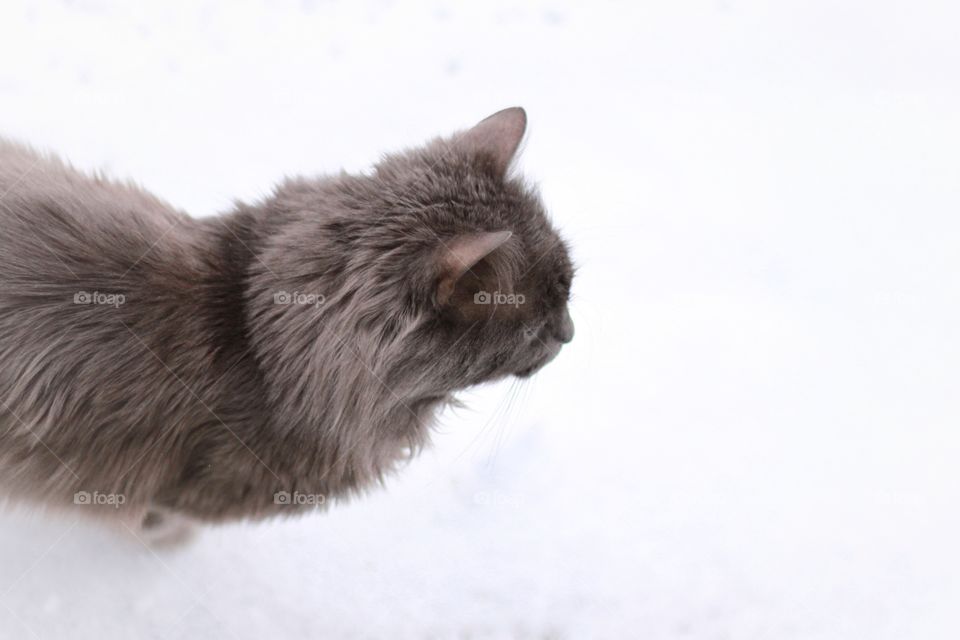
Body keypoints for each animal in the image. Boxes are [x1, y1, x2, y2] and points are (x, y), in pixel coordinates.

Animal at [0, 107, 568, 544]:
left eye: (568, 291)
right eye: (534, 327)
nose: (570, 333)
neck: (257, 338)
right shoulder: (185, 492)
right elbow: (157, 521)